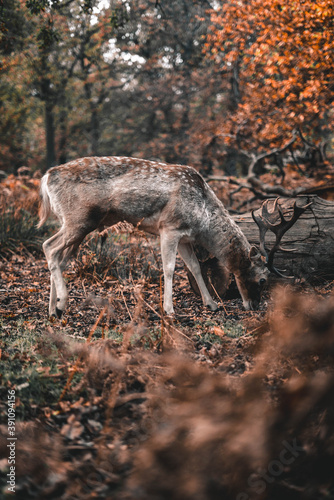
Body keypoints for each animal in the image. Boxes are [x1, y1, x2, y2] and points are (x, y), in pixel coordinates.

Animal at [38, 157, 268, 316]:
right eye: (263, 279)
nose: (254, 306)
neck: (202, 220)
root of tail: (46, 177)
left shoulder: (185, 237)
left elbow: (195, 267)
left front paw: (211, 303)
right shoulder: (169, 227)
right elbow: (169, 269)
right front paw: (169, 309)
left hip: (75, 224)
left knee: (59, 258)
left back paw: (52, 310)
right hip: (78, 219)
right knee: (48, 246)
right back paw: (61, 303)